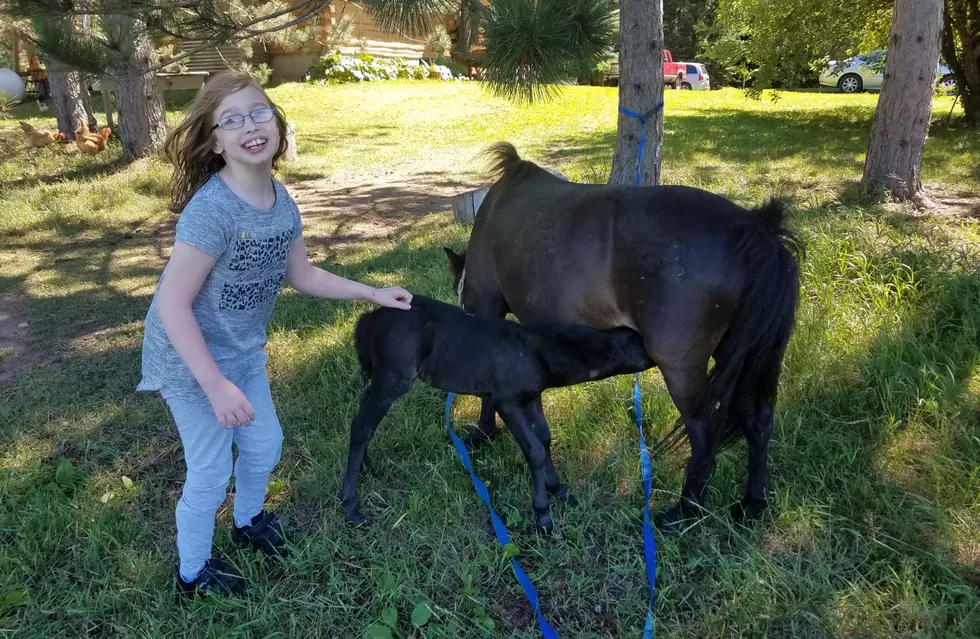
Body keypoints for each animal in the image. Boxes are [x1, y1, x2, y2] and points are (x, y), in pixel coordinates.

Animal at [336, 298, 652, 532]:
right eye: (638, 343)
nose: (656, 353)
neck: (535, 351)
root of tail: (373, 316)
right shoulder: (506, 402)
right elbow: (534, 450)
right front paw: (543, 515)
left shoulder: (531, 397)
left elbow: (545, 438)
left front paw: (556, 487)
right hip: (393, 379)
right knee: (361, 426)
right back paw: (350, 505)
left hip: (381, 378)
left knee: (364, 413)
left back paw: (366, 465)